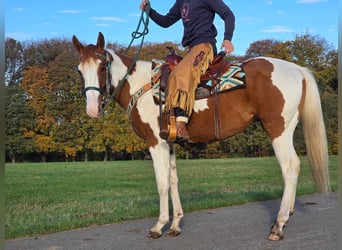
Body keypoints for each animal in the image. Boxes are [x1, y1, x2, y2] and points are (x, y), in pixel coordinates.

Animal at [71, 32, 328, 241]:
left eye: (102, 67)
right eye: (79, 70)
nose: (92, 109)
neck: (141, 85)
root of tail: (297, 69)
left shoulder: (156, 143)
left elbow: (161, 183)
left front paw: (159, 226)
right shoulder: (170, 143)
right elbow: (173, 181)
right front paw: (175, 224)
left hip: (277, 128)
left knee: (290, 167)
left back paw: (278, 225)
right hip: (287, 127)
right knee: (294, 166)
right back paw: (288, 214)